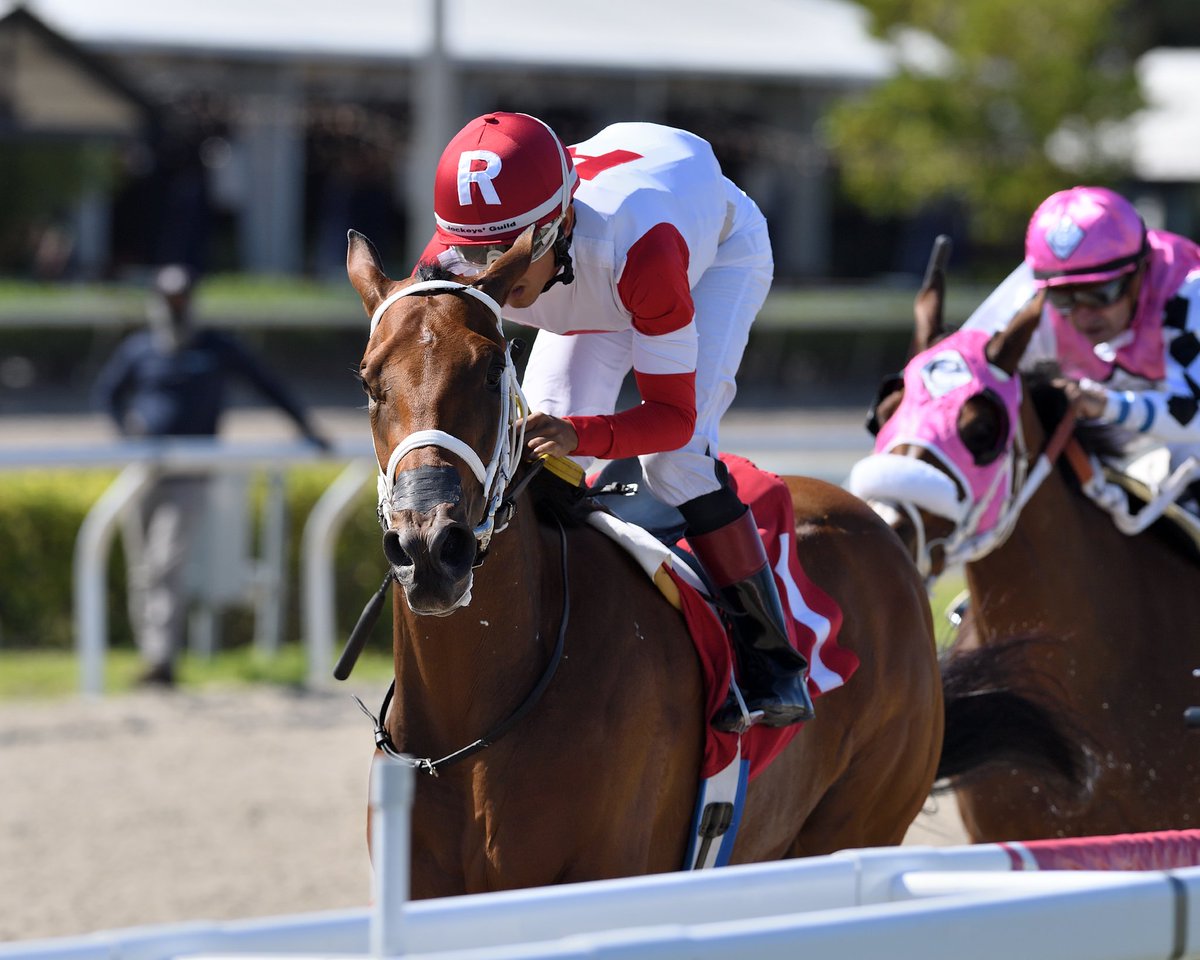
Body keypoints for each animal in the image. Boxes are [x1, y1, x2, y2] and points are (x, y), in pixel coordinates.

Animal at [348, 229, 945, 897]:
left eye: (490, 371)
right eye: (369, 380)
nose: (430, 546)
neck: (472, 727)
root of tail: (880, 526)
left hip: (862, 822)